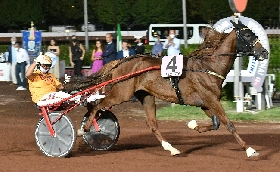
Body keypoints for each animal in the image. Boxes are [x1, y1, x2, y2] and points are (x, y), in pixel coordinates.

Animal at [64, 19, 270, 156]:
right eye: (247, 35)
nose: (264, 52)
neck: (208, 67)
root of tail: (121, 61)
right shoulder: (210, 99)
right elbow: (229, 124)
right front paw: (249, 149)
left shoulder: (205, 103)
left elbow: (216, 123)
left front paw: (193, 125)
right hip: (121, 93)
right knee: (97, 106)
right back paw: (84, 129)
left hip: (146, 96)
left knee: (152, 124)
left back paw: (171, 148)